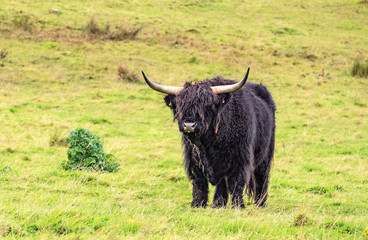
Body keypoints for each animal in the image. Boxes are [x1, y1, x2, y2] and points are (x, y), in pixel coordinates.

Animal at [142, 68, 274, 208]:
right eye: (180, 105)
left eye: (207, 105)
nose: (189, 125)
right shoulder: (194, 159)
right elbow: (199, 182)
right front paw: (197, 204)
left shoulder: (240, 158)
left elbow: (237, 182)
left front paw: (238, 206)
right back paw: (219, 204)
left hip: (265, 156)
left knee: (261, 178)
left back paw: (260, 203)